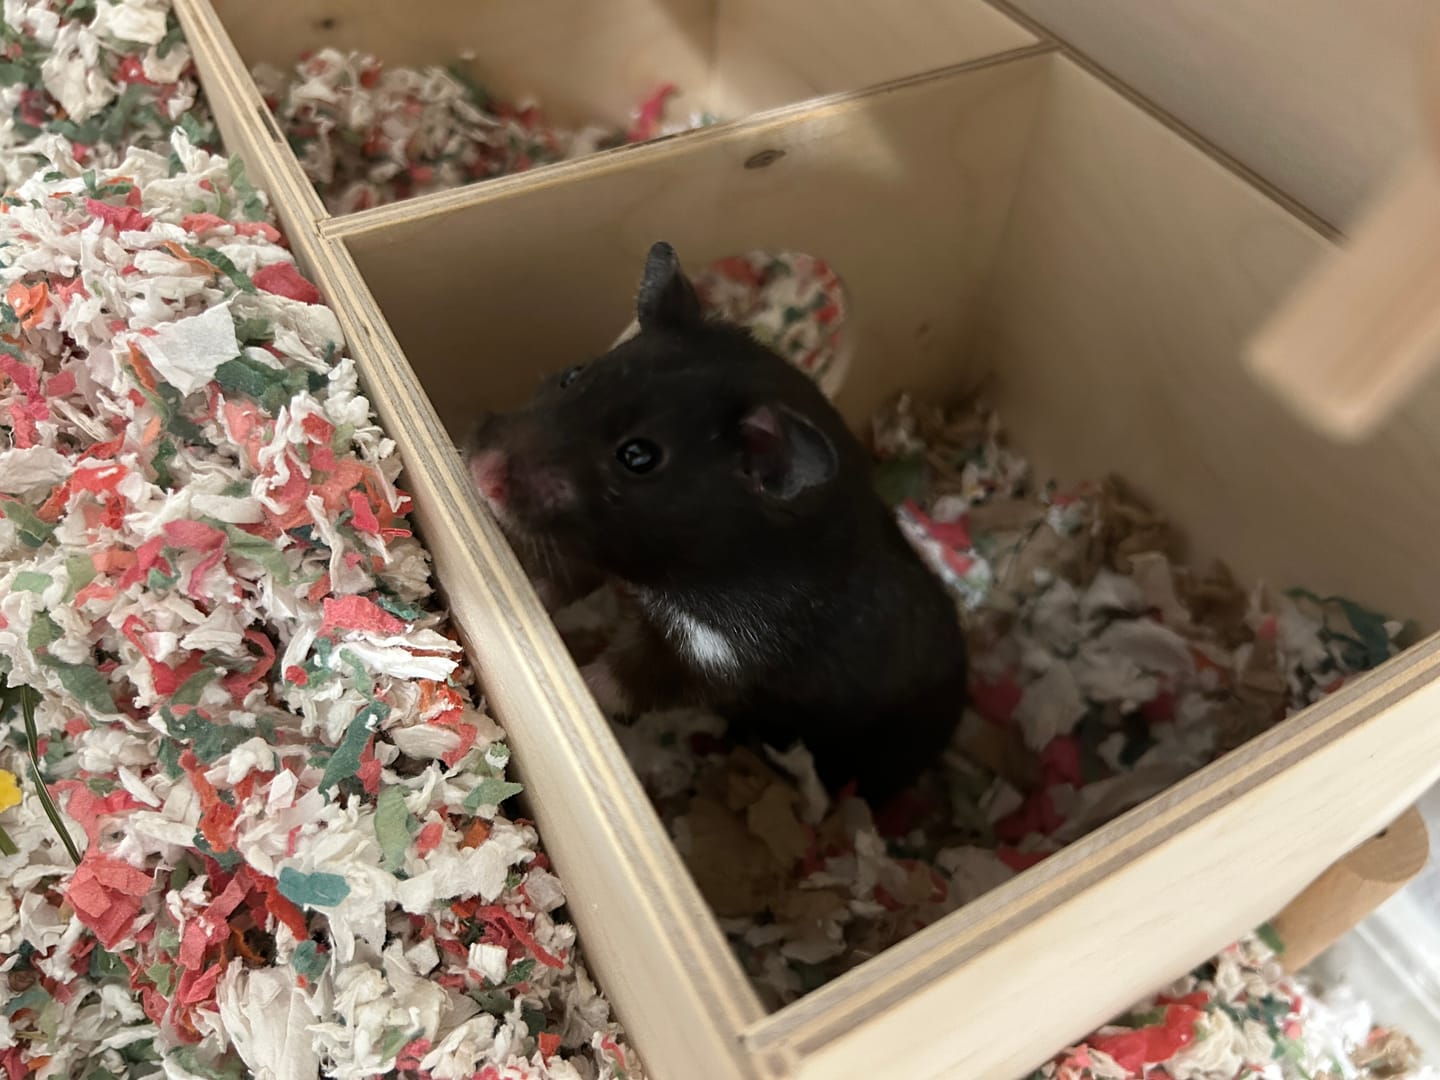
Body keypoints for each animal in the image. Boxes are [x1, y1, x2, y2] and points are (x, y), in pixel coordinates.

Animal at [463, 241, 968, 802]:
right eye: (575, 373)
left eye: (638, 456)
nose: (481, 474)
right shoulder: (599, 548)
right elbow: (561, 579)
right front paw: (524, 593)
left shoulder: (714, 655)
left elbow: (626, 677)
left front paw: (583, 681)